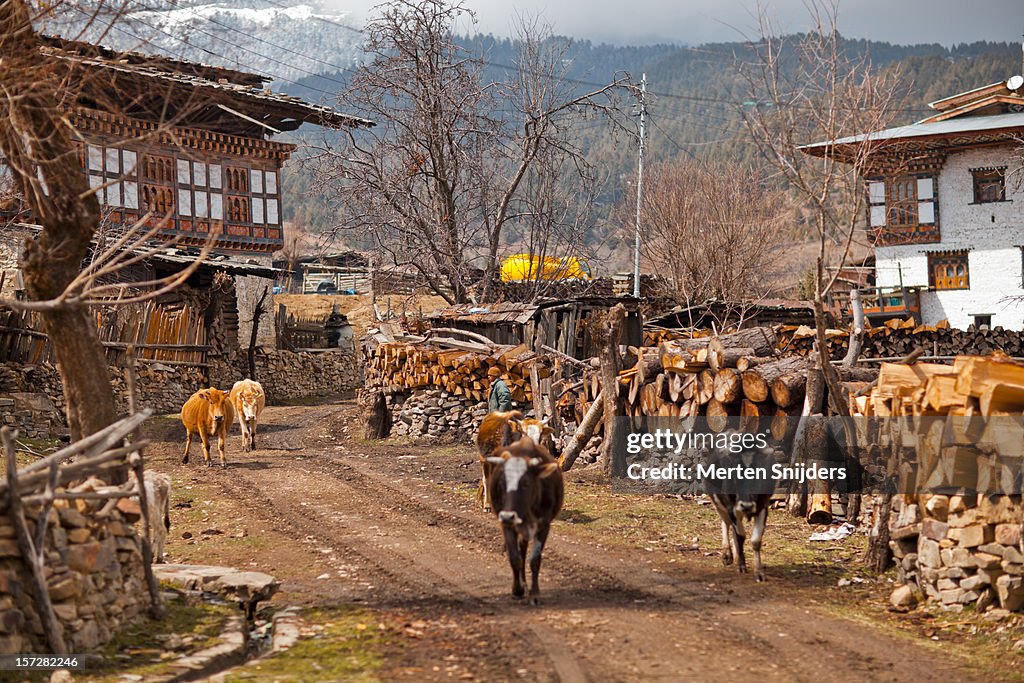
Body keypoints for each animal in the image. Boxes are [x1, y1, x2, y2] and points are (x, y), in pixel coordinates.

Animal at [485, 438, 565, 602]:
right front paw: (517, 589)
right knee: (521, 553)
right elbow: (515, 558)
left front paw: (534, 593)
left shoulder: (544, 525)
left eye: (526, 483)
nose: (508, 516)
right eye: (502, 483)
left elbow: (535, 560)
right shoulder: (507, 525)